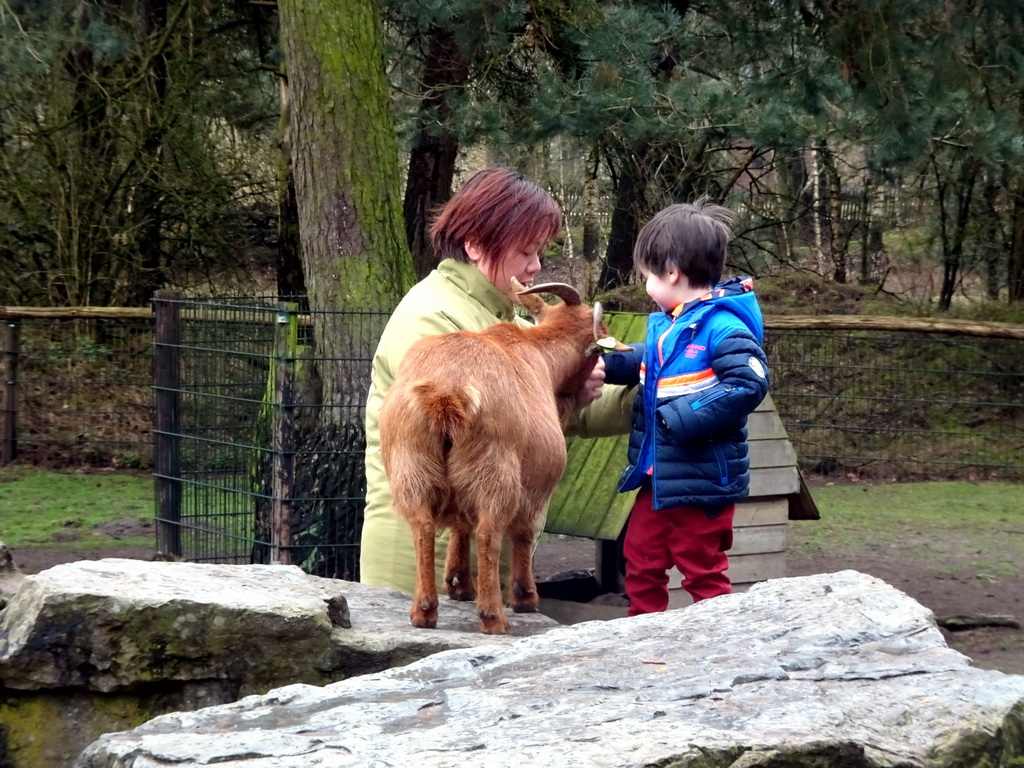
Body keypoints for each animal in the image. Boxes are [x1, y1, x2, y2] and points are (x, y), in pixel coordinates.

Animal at [378, 280, 622, 634]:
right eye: (600, 351)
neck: (539, 354)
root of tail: (446, 392)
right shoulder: (537, 483)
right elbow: (523, 532)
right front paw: (525, 597)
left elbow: (460, 525)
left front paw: (458, 584)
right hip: (496, 469)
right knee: (489, 533)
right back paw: (494, 616)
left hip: (411, 464)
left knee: (423, 526)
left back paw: (424, 611)